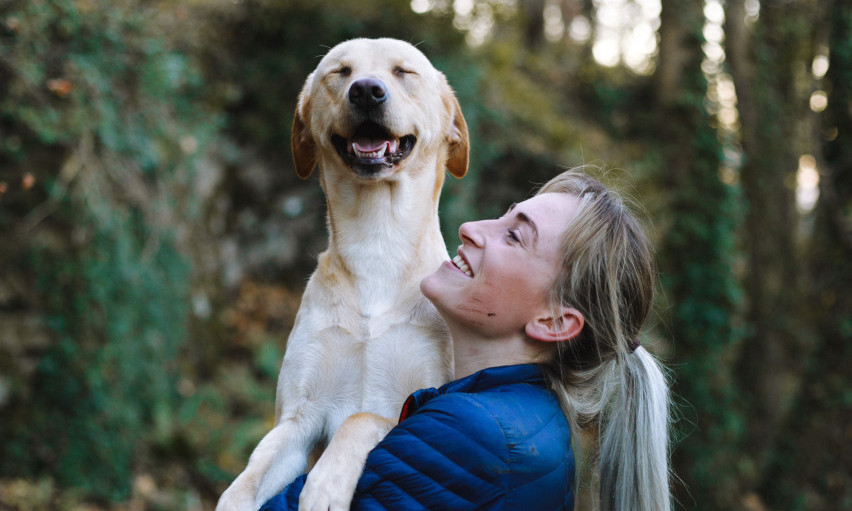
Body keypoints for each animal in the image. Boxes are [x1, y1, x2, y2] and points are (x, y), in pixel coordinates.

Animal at [213, 38, 466, 510]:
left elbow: (362, 418)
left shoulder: (419, 404)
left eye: (403, 71)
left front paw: (326, 484)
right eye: (340, 72)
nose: (366, 91)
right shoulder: (298, 418)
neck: (376, 243)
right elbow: (248, 478)